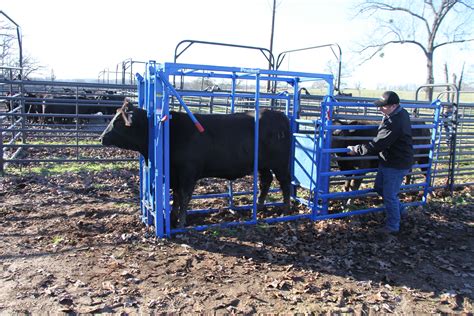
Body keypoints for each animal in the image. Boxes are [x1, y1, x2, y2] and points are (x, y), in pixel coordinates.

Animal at [102, 100, 290, 226]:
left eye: (118, 121)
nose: (102, 137)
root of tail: (279, 114)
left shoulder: (188, 172)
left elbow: (184, 196)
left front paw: (180, 222)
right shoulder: (175, 175)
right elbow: (176, 196)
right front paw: (172, 216)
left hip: (280, 163)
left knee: (285, 182)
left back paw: (285, 211)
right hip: (263, 165)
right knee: (265, 181)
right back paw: (257, 207)